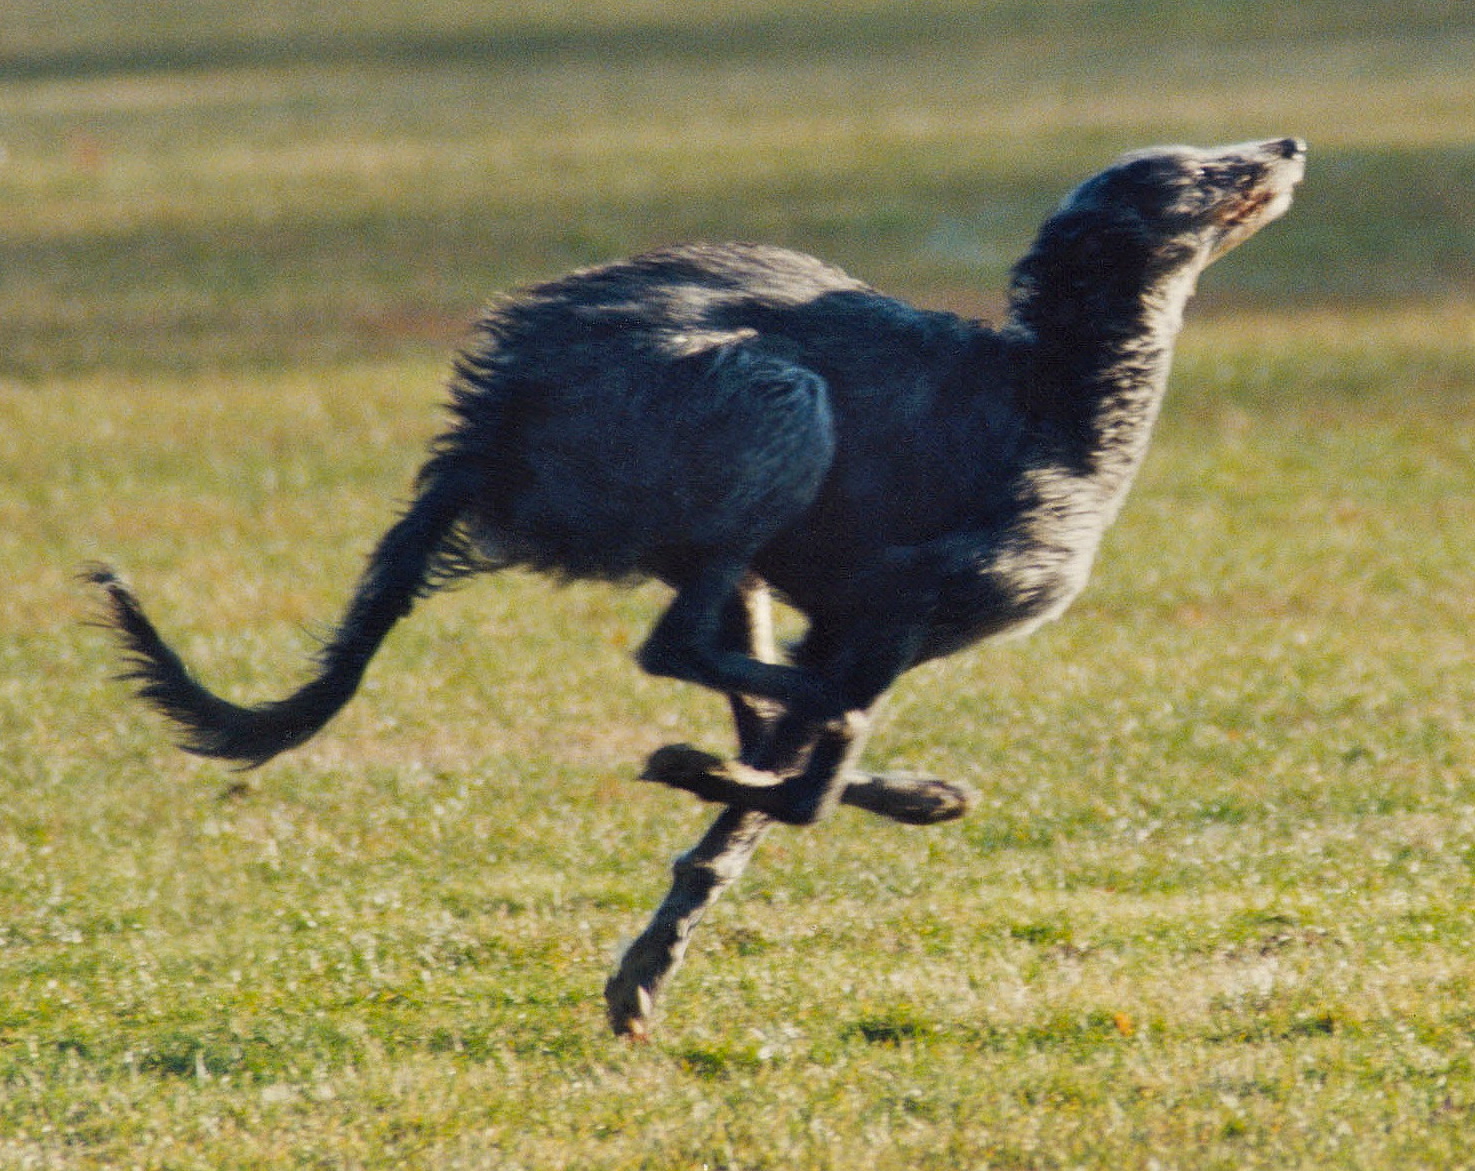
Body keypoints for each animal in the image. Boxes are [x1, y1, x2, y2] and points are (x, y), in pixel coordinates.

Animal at [86, 139, 1303, 831]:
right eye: (1202, 170)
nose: (1286, 141)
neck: (1058, 387)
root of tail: (493, 421)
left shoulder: (844, 611)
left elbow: (792, 752)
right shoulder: (915, 590)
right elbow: (805, 776)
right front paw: (767, 770)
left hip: (728, 540)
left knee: (728, 670)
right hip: (770, 407)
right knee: (685, 650)